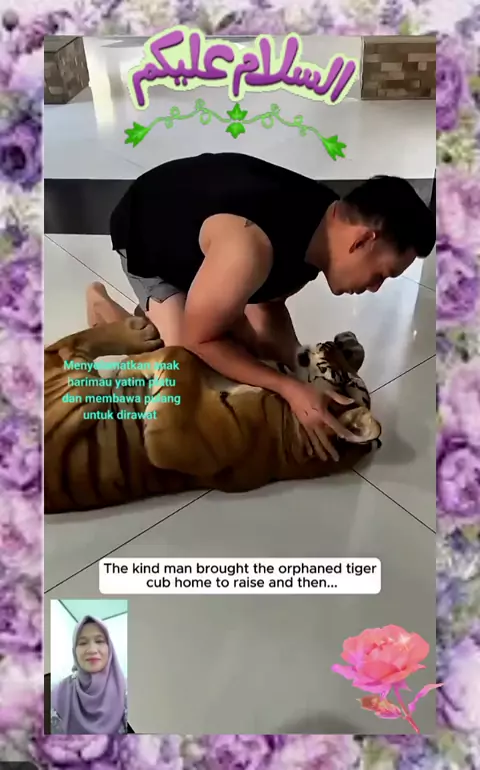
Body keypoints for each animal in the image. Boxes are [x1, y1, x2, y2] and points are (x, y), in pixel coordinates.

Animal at [44, 317, 381, 514]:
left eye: (342, 379)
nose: (329, 343)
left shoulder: (174, 442)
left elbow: (182, 354)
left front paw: (135, 364)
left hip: (78, 395)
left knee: (65, 349)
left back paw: (140, 336)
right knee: (63, 347)